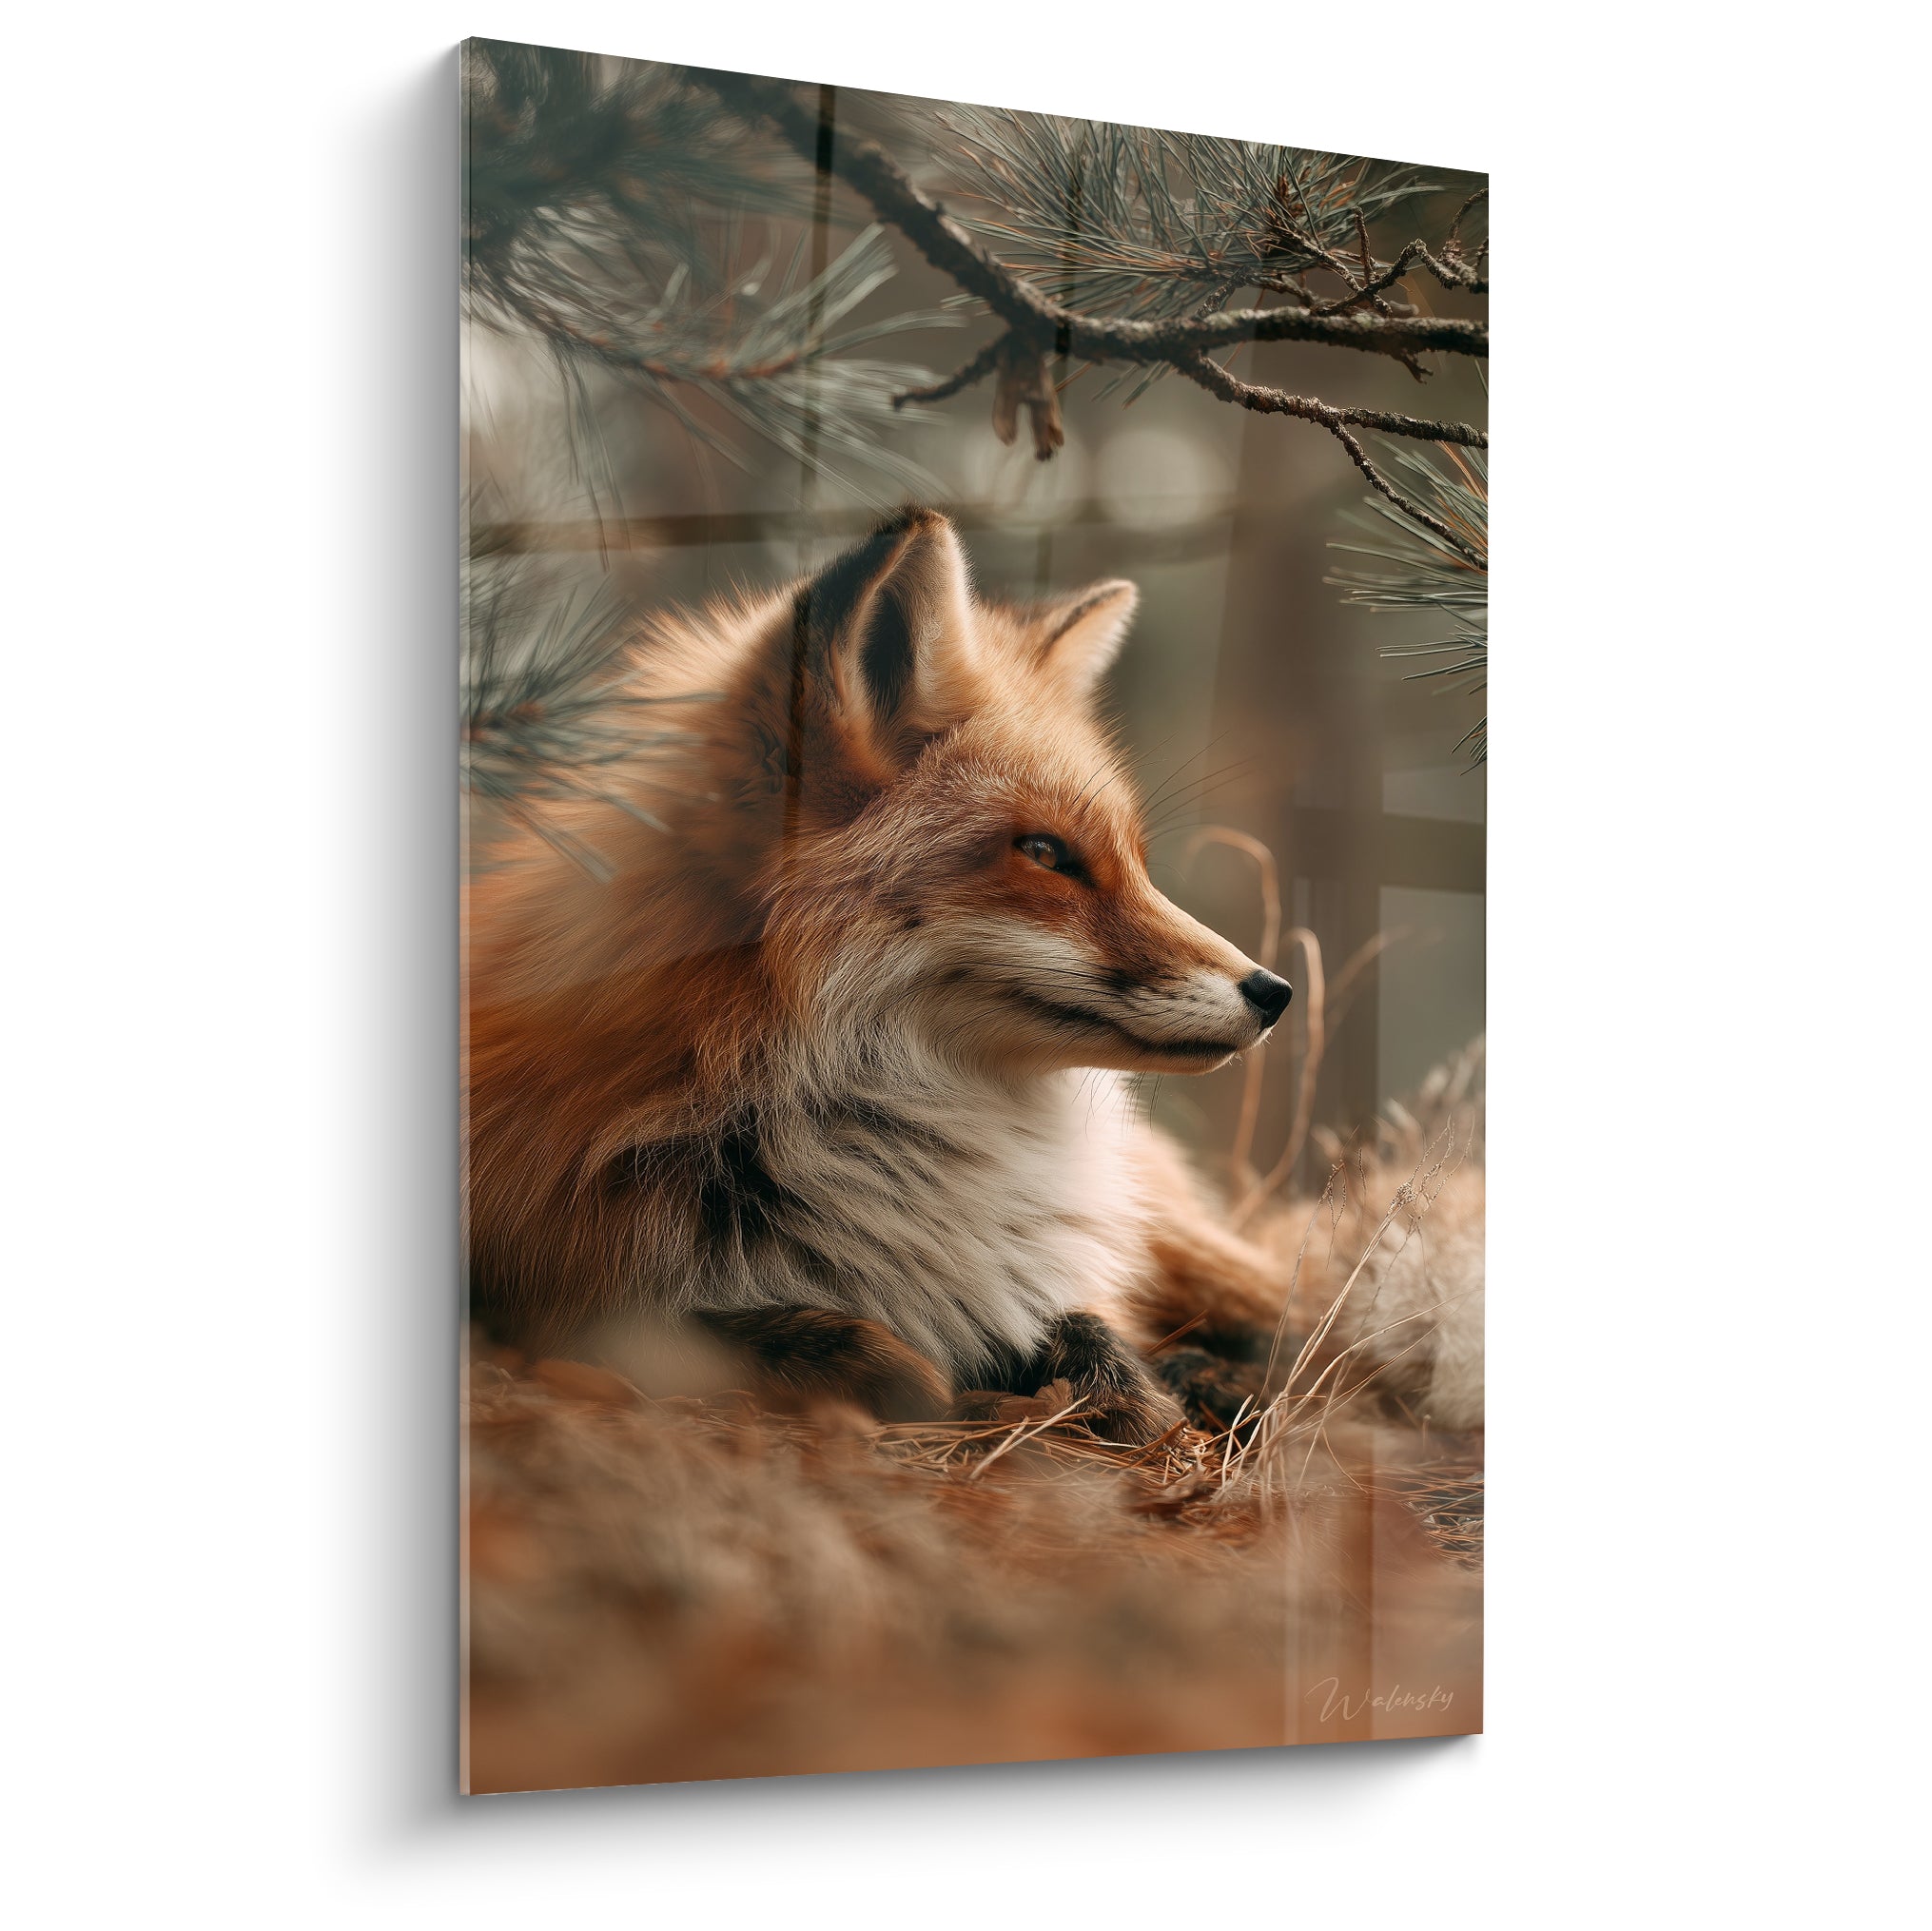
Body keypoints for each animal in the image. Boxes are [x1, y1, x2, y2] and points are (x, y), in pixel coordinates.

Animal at [466, 507, 1303, 1442]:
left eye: (1135, 862)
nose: (1274, 993)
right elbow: (719, 1333)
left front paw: (1134, 1396)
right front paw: (914, 1378)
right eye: (1046, 853)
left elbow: (1089, 1331)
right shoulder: (543, 1283)